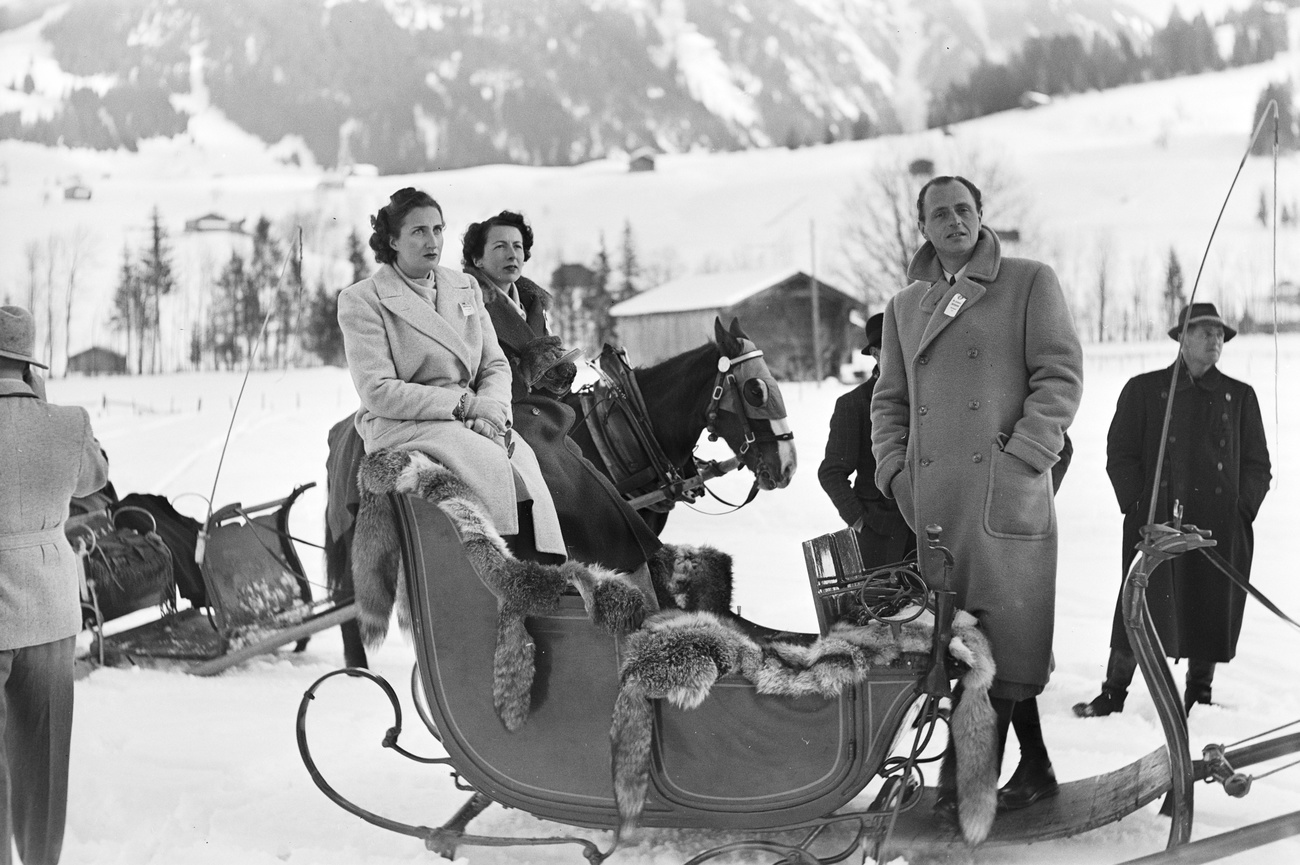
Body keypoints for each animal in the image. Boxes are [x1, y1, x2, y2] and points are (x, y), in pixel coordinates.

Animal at [323, 318, 790, 665]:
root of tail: (343, 435)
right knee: (349, 597)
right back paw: (356, 665)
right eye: (755, 390)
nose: (787, 466)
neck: (631, 429)